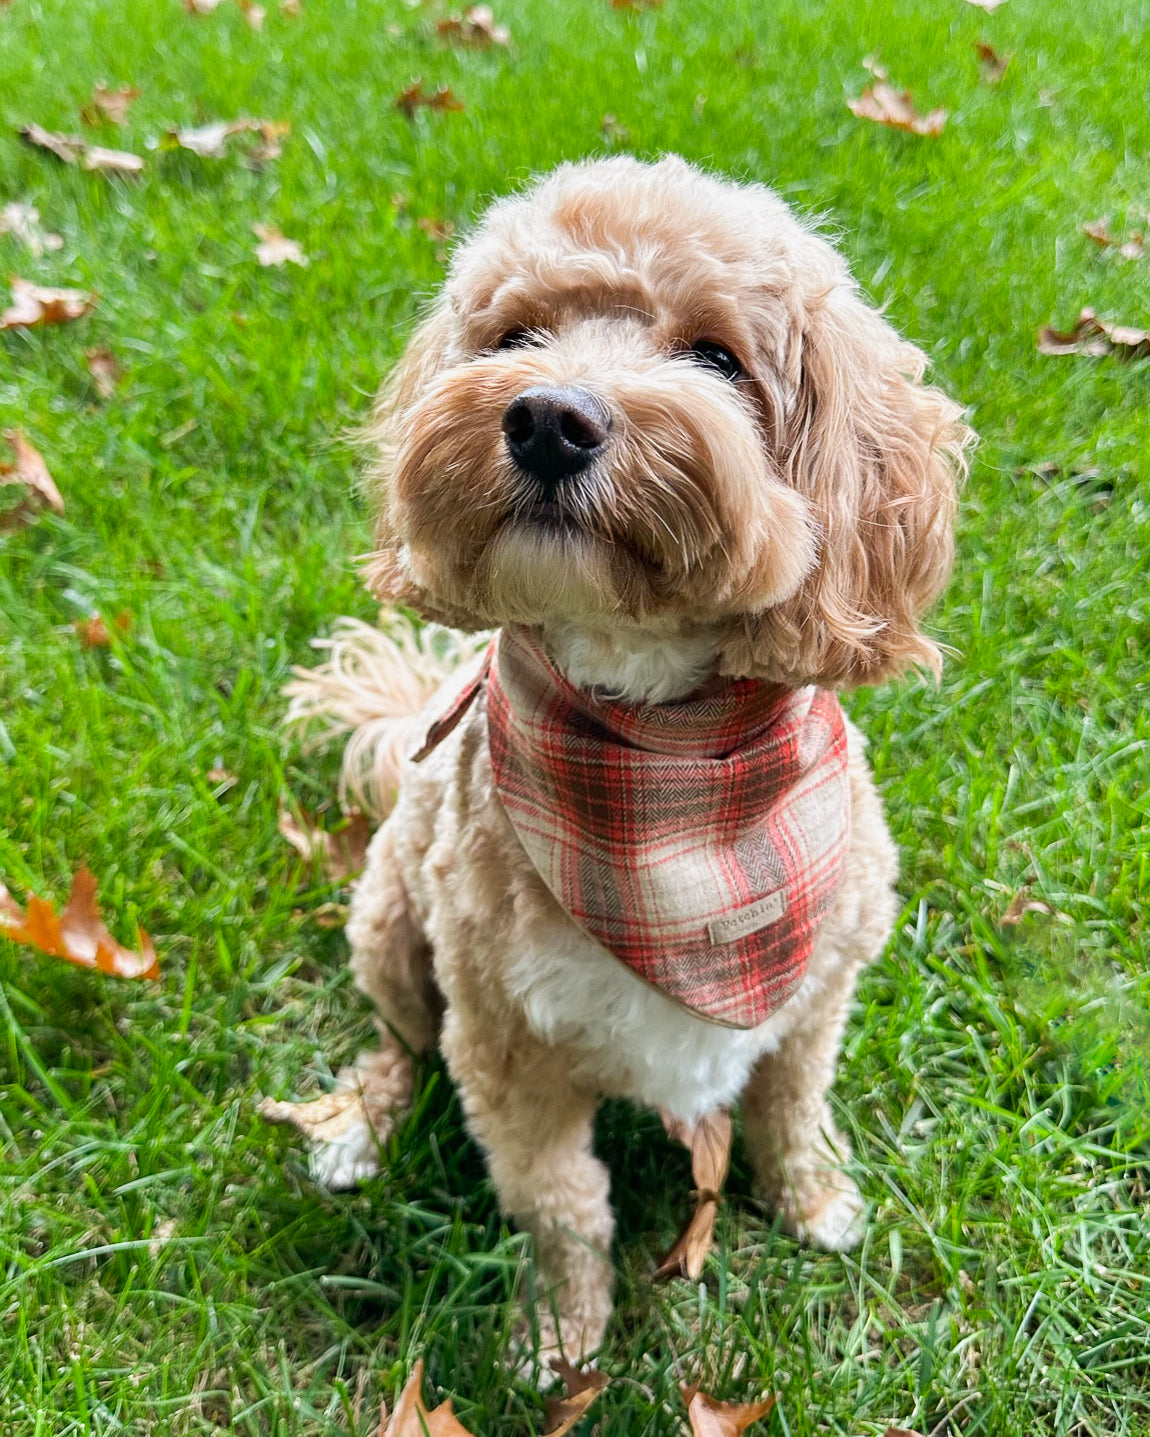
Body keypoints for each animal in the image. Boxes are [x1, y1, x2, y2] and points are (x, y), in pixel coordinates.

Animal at [267, 151, 971, 1362]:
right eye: (513, 336)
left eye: (716, 358)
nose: (549, 418)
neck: (664, 778)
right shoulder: (509, 1049)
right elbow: (562, 1206)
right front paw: (560, 1335)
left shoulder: (816, 992)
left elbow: (792, 1107)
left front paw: (814, 1197)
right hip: (393, 928)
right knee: (400, 1044)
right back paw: (357, 1122)